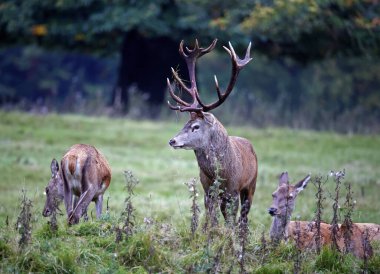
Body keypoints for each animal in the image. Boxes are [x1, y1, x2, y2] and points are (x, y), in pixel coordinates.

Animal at [168, 40, 256, 225]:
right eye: (186, 123)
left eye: (195, 126)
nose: (172, 141)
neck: (220, 173)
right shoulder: (207, 189)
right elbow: (211, 219)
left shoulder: (233, 189)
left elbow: (230, 222)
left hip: (251, 185)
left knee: (244, 218)